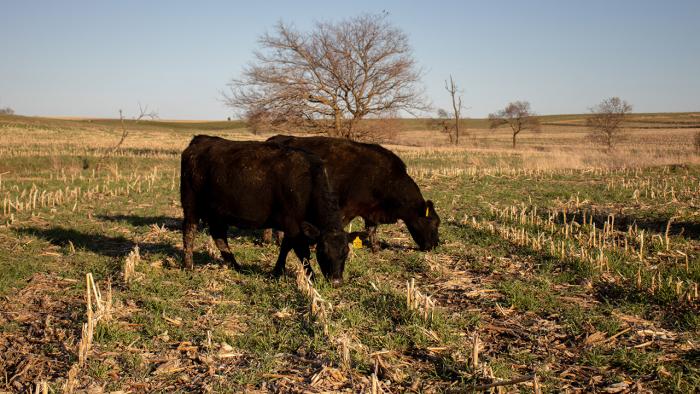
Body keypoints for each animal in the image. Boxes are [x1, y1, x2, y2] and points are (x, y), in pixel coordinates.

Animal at [180, 135, 358, 284]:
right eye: (322, 251)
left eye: (346, 252)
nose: (336, 282)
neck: (308, 182)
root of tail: (200, 139)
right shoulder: (293, 224)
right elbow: (302, 253)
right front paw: (311, 278)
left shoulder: (292, 227)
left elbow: (285, 247)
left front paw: (277, 271)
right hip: (191, 204)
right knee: (189, 232)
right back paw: (189, 266)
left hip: (218, 212)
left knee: (219, 236)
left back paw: (235, 265)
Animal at [266, 135, 438, 251]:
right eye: (433, 223)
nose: (435, 245)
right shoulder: (347, 208)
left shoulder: (371, 210)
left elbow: (372, 230)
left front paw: (376, 248)